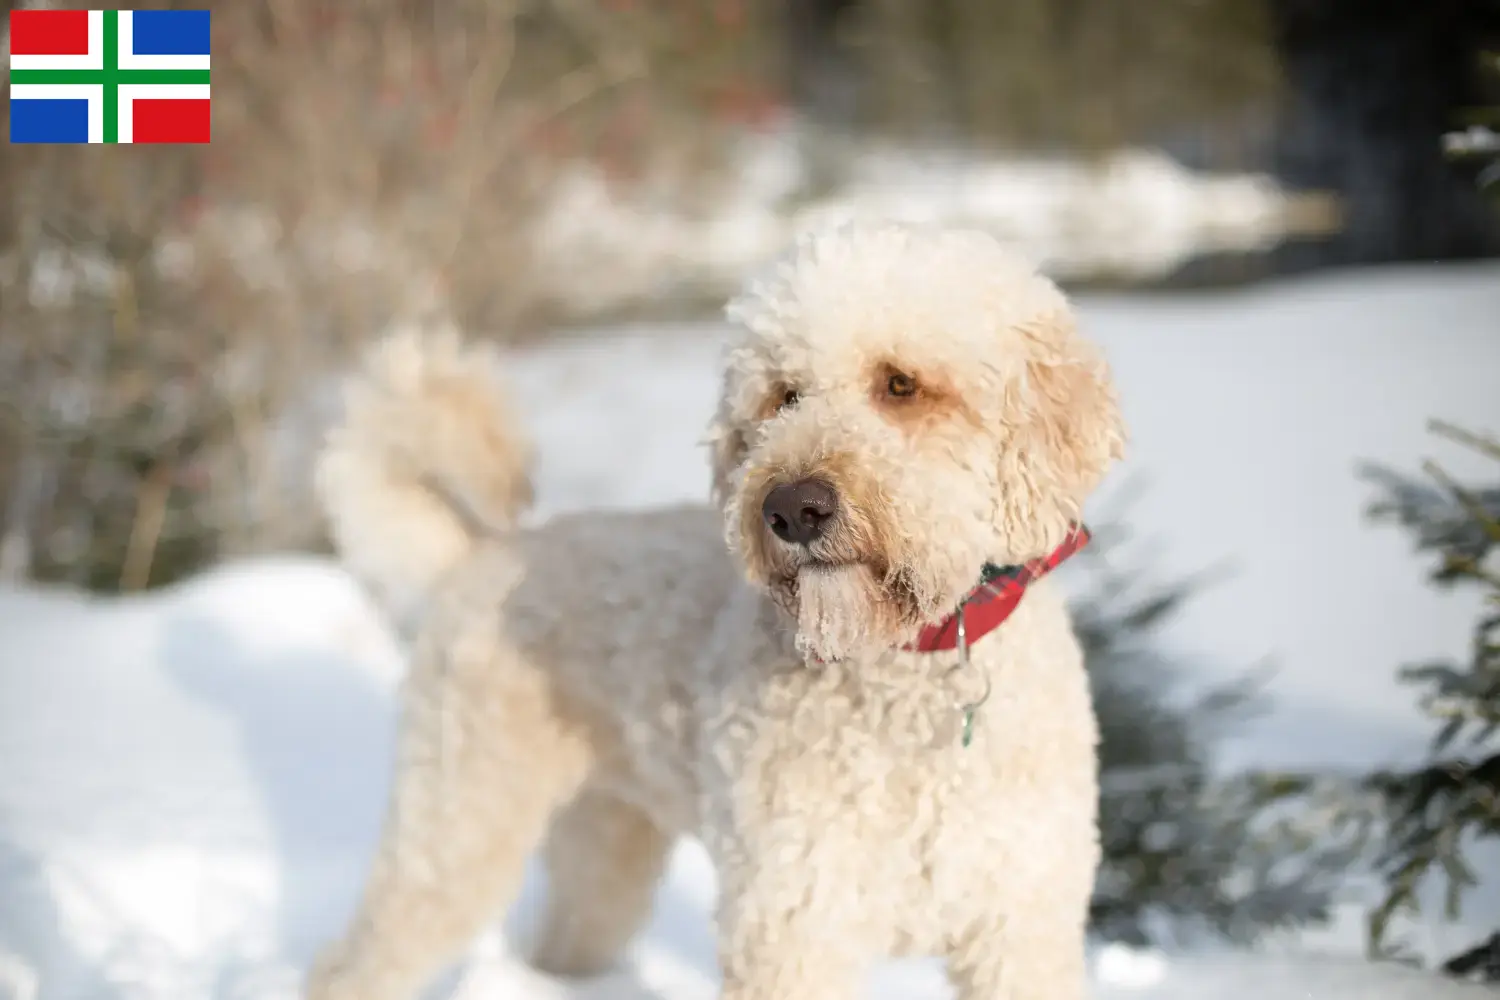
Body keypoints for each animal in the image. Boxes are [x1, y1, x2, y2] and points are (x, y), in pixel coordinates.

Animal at [307, 223, 1128, 995]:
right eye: (783, 394)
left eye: (901, 384)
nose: (792, 509)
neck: (912, 664)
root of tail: (480, 553)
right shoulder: (793, 919)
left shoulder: (1021, 925)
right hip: (458, 823)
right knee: (351, 967)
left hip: (604, 842)